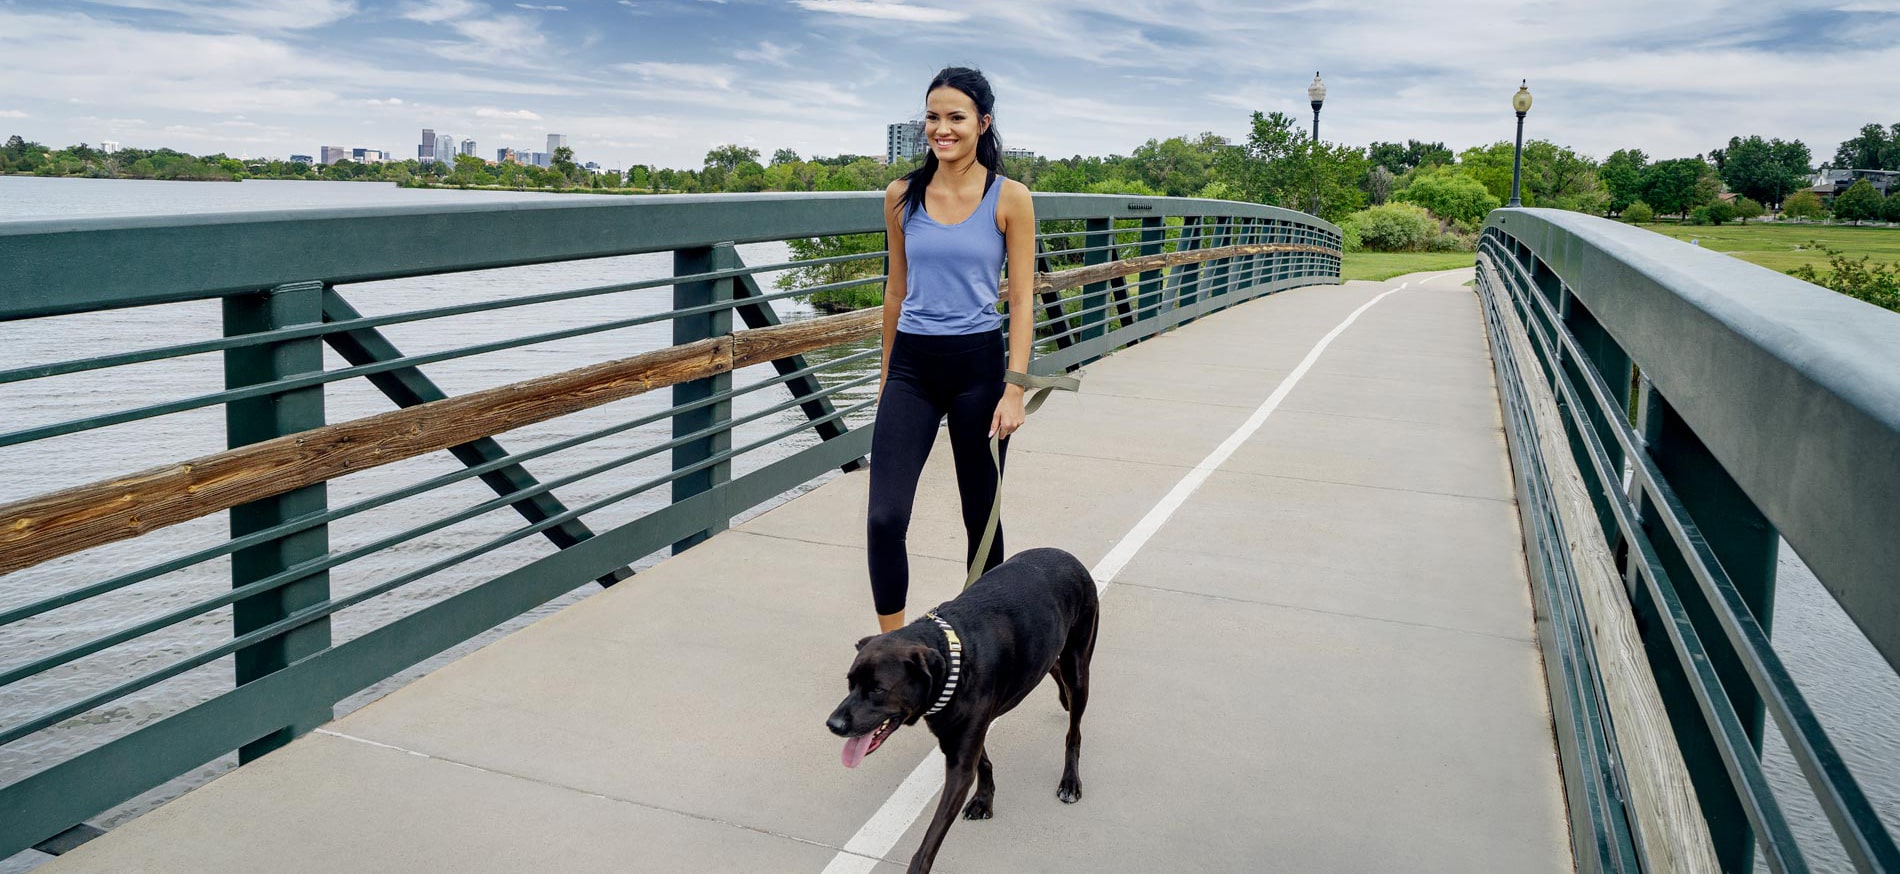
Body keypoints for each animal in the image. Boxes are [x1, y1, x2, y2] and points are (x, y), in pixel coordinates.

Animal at [828, 551, 1102, 870]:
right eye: (850, 683)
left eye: (877, 689)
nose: (833, 724)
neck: (954, 664)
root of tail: (1068, 556)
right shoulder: (962, 733)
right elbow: (982, 763)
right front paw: (984, 800)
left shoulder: (961, 760)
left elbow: (930, 840)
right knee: (1053, 667)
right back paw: (1062, 699)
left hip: (1079, 668)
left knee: (1074, 731)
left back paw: (1070, 780)